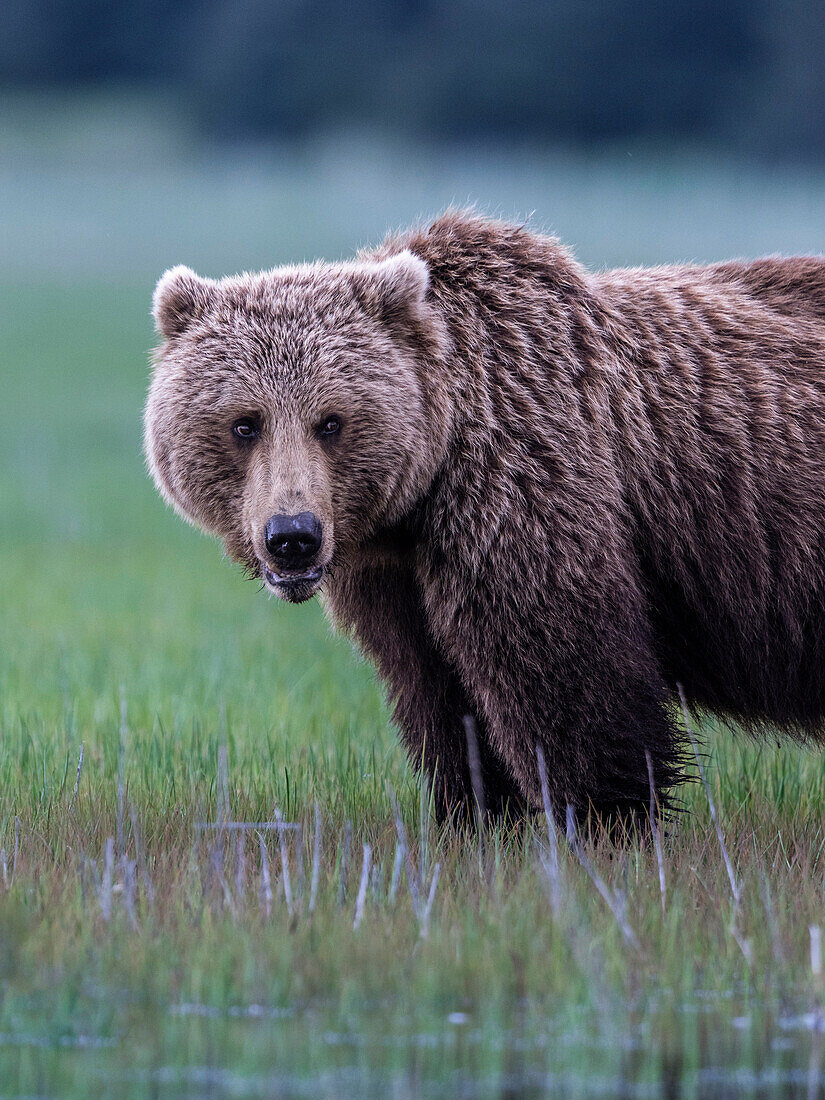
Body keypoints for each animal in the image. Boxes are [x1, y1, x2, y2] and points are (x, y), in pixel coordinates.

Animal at [145, 207, 825, 827]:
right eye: (244, 423)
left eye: (331, 421)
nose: (293, 538)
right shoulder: (396, 581)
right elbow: (443, 699)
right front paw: (479, 812)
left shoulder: (522, 488)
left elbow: (567, 677)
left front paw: (607, 818)